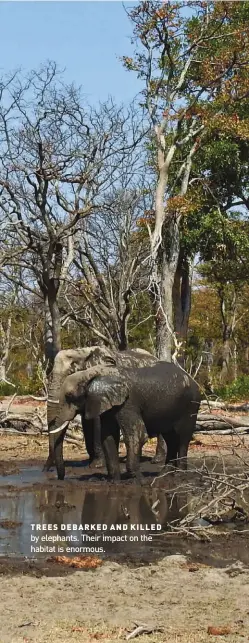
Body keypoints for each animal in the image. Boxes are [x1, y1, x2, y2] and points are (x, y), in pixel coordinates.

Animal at [47, 362, 201, 484]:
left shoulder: (127, 403)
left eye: (69, 396)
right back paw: (164, 474)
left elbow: (137, 435)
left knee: (183, 438)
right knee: (171, 439)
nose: (60, 478)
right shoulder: (107, 405)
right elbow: (107, 437)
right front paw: (114, 481)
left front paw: (137, 480)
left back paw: (180, 475)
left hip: (191, 405)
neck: (93, 372)